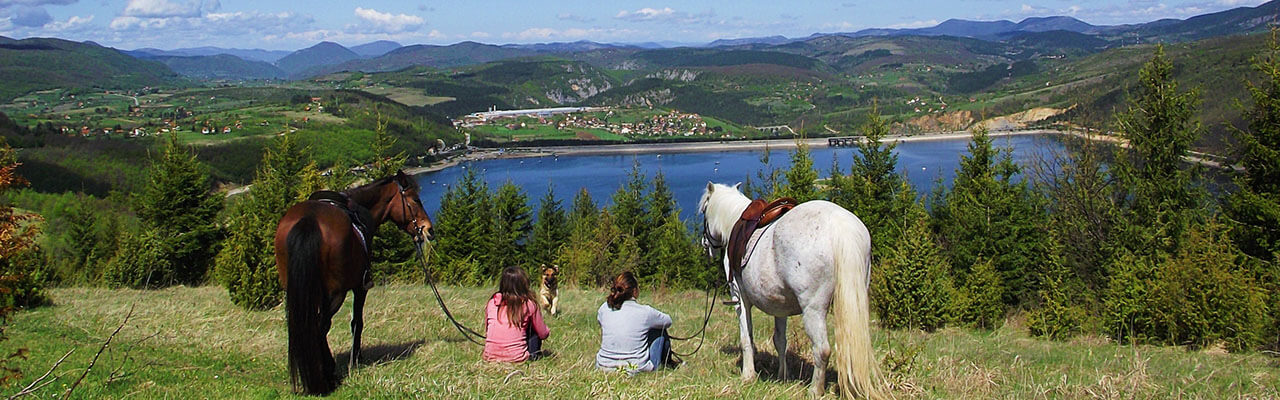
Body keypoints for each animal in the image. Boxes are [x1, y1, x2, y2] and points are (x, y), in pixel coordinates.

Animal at [274, 170, 432, 395]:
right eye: (416, 200)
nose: (428, 230)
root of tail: (308, 220)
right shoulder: (360, 287)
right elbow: (357, 321)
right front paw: (355, 358)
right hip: (335, 294)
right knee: (321, 326)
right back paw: (326, 377)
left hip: (297, 290)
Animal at [698, 182, 881, 399]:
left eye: (704, 211)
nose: (705, 245)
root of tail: (841, 227)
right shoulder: (780, 306)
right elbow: (780, 341)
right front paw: (782, 376)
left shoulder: (740, 299)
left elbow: (746, 338)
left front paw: (748, 375)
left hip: (813, 310)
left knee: (822, 349)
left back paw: (815, 390)